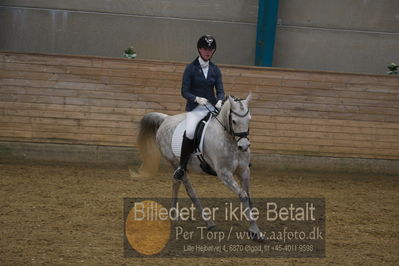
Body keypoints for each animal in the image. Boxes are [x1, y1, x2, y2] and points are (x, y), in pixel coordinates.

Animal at [138, 93, 266, 239]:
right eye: (234, 121)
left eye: (249, 119)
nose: (244, 146)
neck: (230, 140)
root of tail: (166, 119)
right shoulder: (224, 174)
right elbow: (243, 195)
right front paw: (256, 230)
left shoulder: (244, 171)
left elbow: (248, 197)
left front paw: (254, 229)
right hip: (175, 162)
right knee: (189, 188)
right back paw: (208, 221)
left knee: (176, 181)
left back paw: (174, 215)